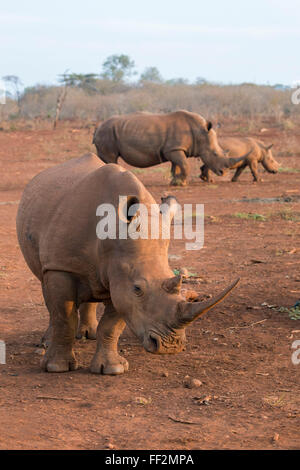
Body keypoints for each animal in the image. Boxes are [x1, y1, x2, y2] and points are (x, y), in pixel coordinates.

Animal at [17, 153, 239, 374]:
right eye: (138, 288)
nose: (169, 347)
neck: (110, 237)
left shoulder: (120, 275)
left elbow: (112, 325)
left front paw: (112, 369)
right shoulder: (62, 266)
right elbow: (64, 317)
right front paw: (56, 367)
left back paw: (89, 335)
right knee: (47, 290)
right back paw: (47, 342)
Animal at [92, 111, 245, 186]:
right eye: (214, 154)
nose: (223, 172)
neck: (200, 132)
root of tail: (98, 127)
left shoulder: (174, 149)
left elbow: (176, 166)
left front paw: (175, 182)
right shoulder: (174, 149)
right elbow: (185, 165)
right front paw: (182, 184)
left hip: (108, 132)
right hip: (107, 133)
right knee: (111, 158)